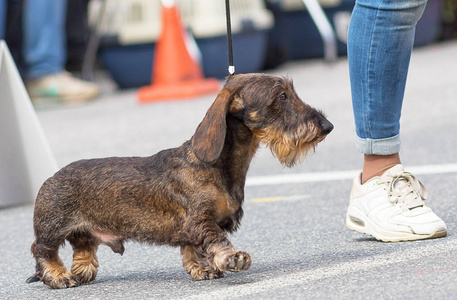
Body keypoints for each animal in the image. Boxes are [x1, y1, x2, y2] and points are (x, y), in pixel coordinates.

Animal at [27, 72, 332, 288]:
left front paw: (203, 269)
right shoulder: (200, 221)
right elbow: (216, 239)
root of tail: (51, 177)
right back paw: (58, 276)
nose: (327, 126)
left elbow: (192, 250)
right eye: (281, 96)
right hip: (53, 227)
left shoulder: (193, 228)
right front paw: (232, 258)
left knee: (83, 247)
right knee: (42, 250)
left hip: (84, 231)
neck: (218, 166)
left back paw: (82, 271)